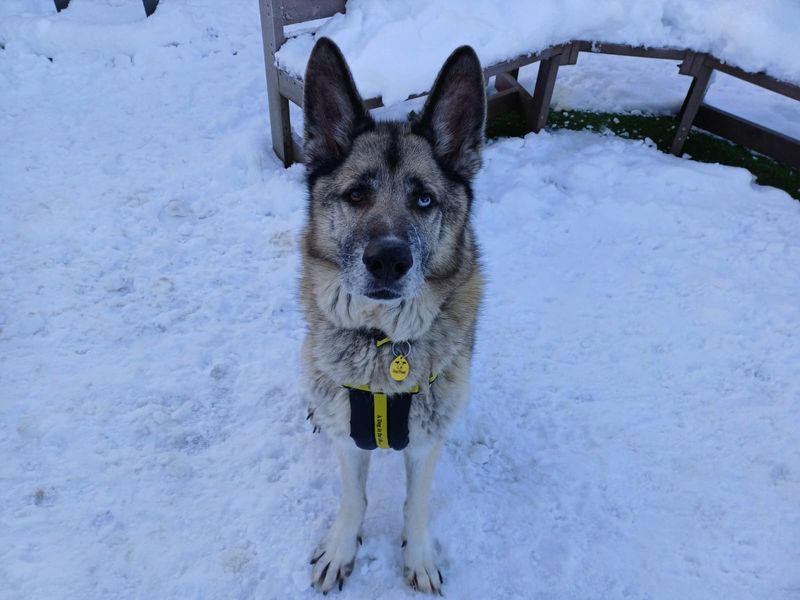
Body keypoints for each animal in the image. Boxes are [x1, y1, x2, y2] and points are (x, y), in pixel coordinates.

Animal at [300, 37, 488, 596]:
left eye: (424, 199)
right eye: (356, 194)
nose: (387, 260)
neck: (385, 341)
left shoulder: (425, 444)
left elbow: (416, 505)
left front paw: (419, 556)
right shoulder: (348, 438)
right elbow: (354, 498)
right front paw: (342, 547)